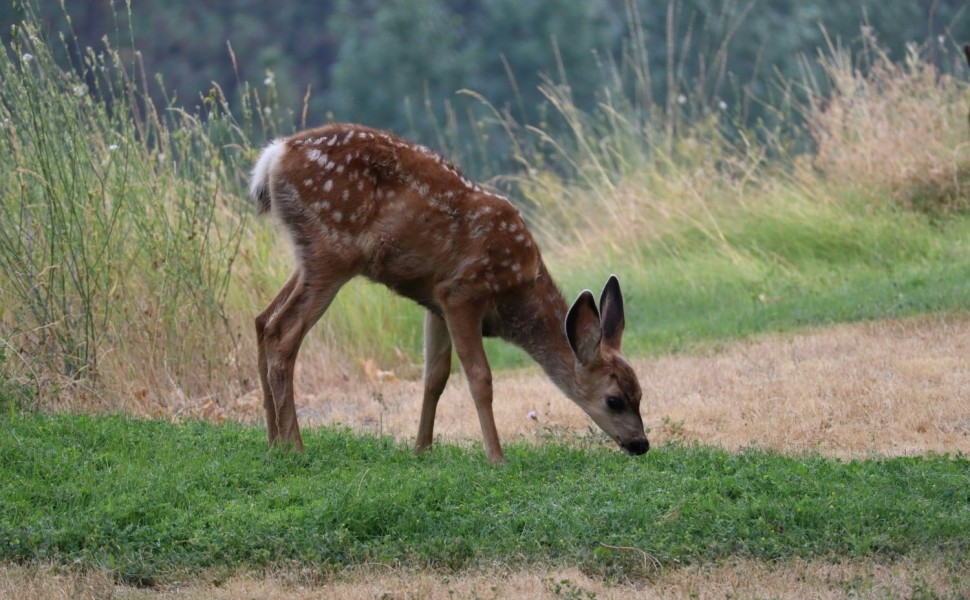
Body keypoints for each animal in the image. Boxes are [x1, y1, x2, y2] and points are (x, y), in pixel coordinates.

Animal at [250, 123, 648, 464]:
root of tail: (273, 156)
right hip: (332, 251)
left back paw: (272, 441)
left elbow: (435, 377)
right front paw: (497, 457)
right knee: (283, 332)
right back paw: (295, 446)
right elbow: (480, 377)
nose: (641, 444)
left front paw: (421, 449)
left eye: (641, 394)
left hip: (309, 257)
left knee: (262, 320)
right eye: (614, 400)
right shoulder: (462, 292)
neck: (517, 293)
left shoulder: (434, 301)